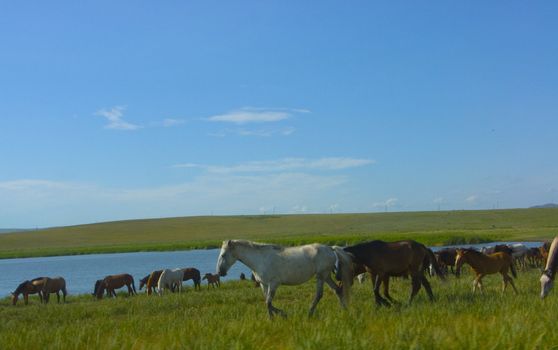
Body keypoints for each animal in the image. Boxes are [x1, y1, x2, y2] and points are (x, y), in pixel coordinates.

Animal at [217, 239, 352, 318]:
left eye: (223, 255)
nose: (220, 272)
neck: (260, 260)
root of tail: (330, 248)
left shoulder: (274, 284)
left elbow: (268, 302)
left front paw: (280, 316)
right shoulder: (263, 284)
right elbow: (267, 302)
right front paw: (272, 318)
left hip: (321, 276)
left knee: (319, 295)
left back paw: (309, 314)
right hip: (326, 276)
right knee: (337, 290)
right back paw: (344, 310)